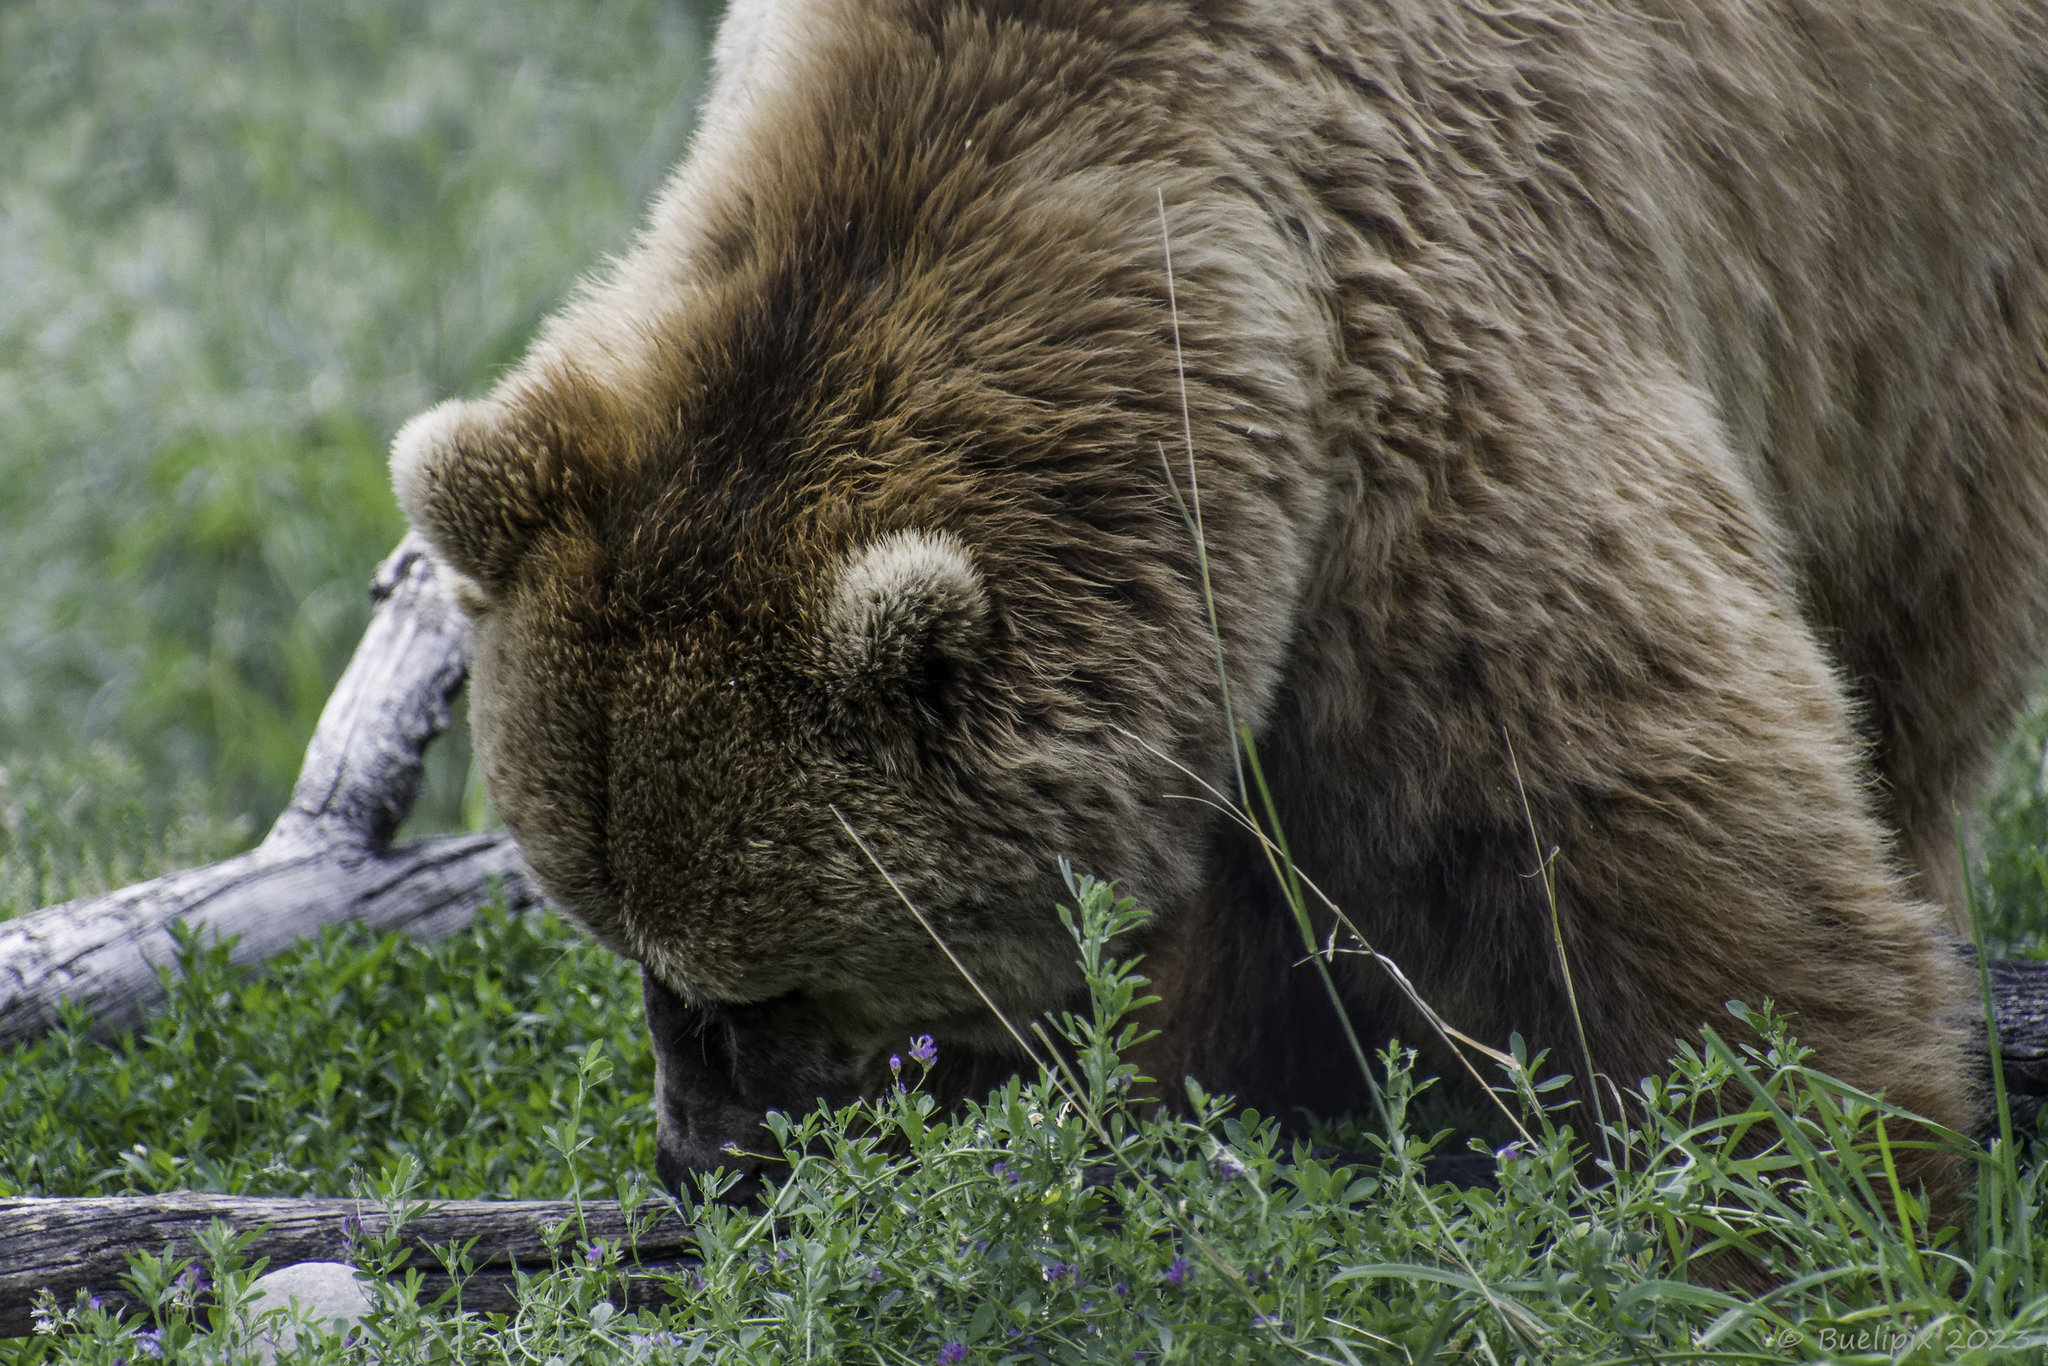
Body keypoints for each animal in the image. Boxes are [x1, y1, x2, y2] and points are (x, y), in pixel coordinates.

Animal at [387, 0, 2048, 1196]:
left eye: (771, 979)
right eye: (615, 936)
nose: (705, 1163)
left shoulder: (1426, 393)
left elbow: (1646, 834)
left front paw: (1806, 1191)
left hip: (1918, 284)